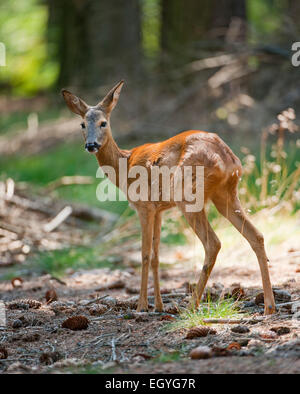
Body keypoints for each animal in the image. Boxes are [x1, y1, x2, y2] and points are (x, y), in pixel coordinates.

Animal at [61, 81, 276, 316]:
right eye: (82, 124)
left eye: (103, 123)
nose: (91, 145)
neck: (124, 163)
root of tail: (227, 158)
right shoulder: (159, 209)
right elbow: (156, 256)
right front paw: (159, 306)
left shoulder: (143, 206)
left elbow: (145, 254)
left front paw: (142, 305)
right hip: (226, 194)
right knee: (257, 236)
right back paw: (269, 306)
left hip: (188, 195)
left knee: (213, 243)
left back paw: (192, 305)